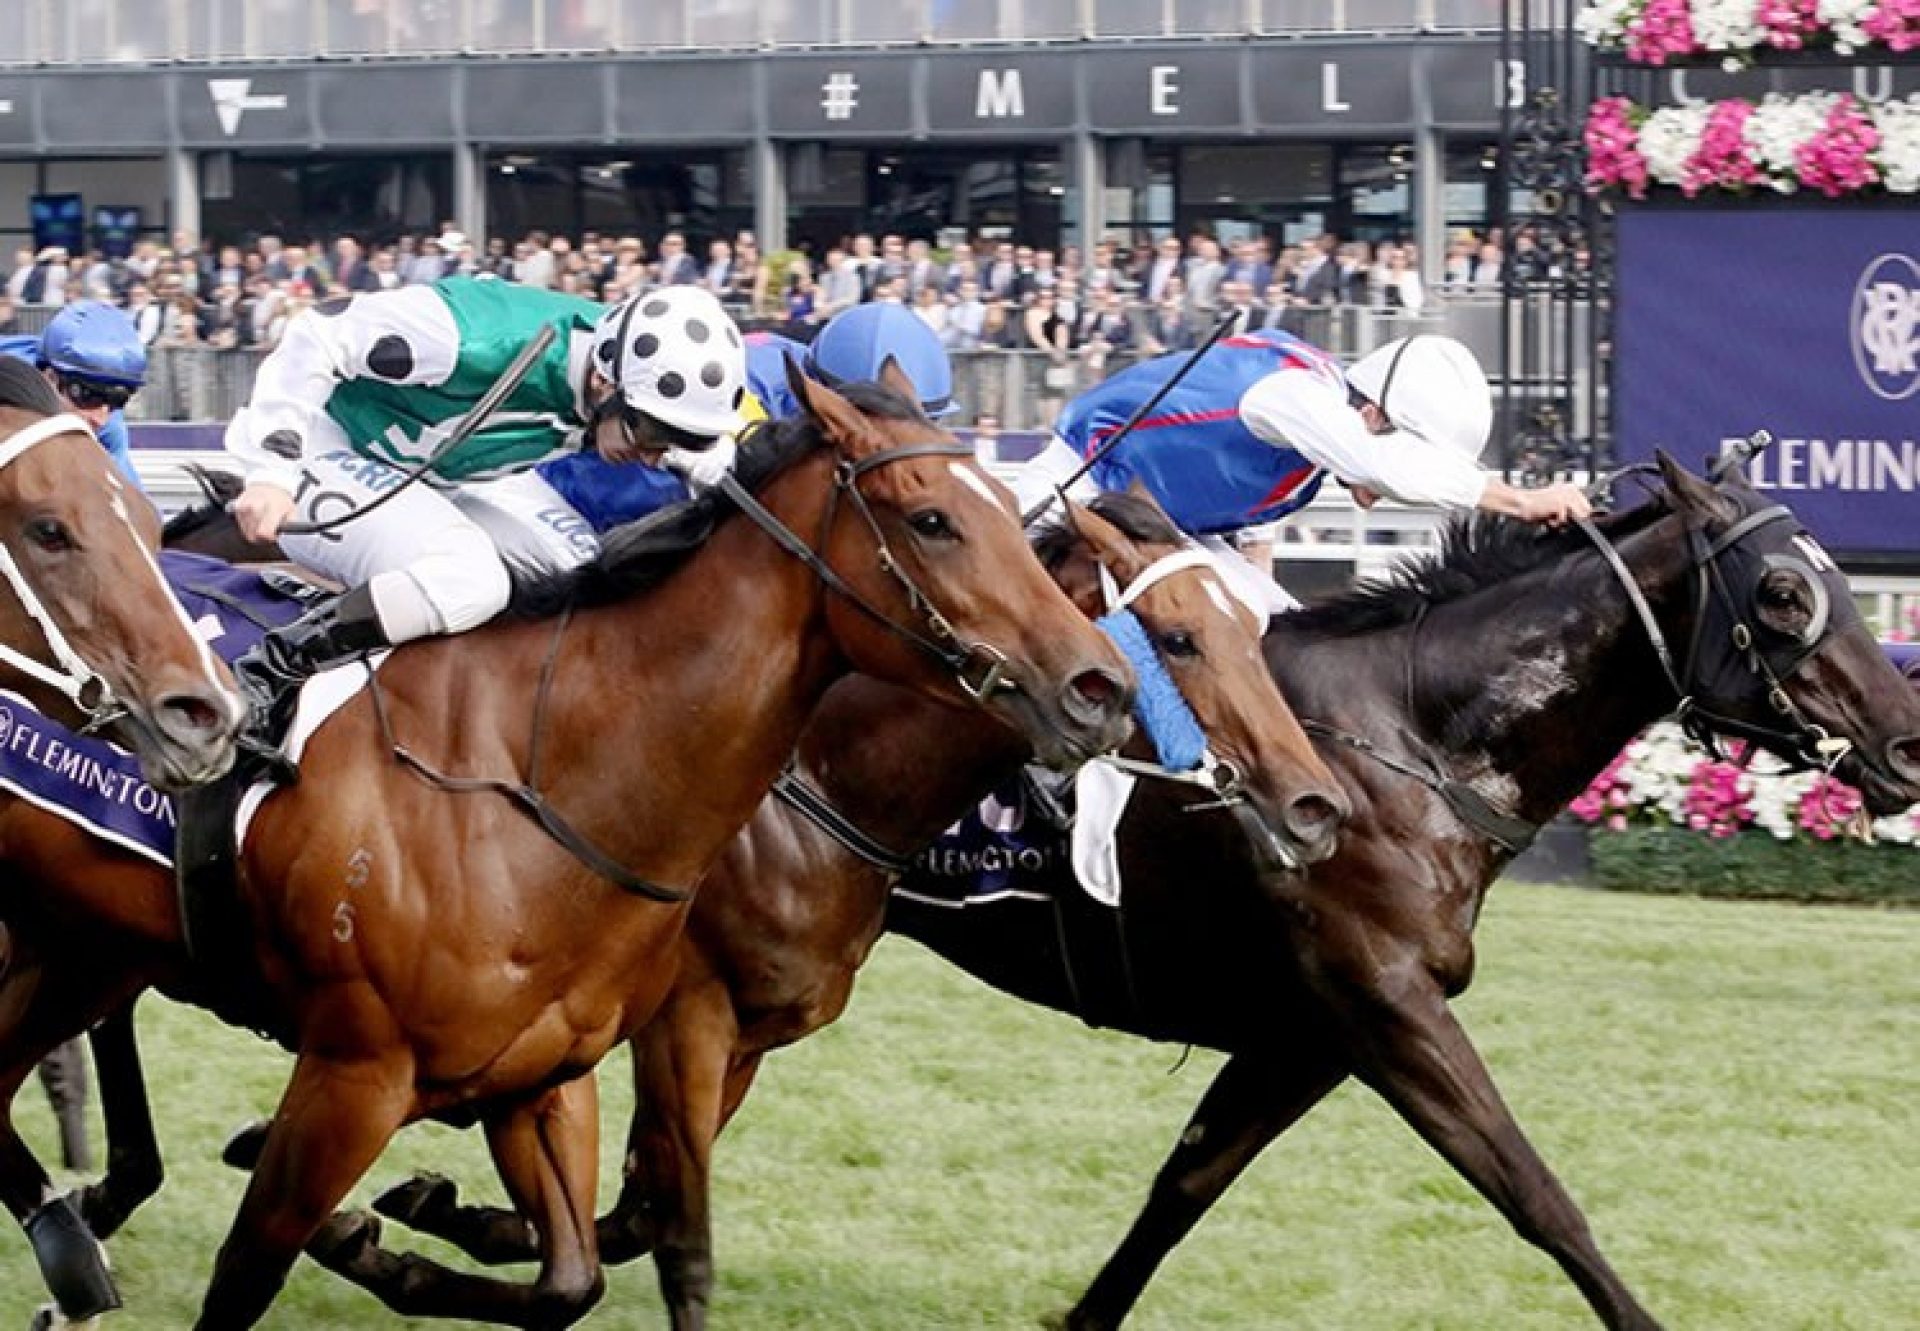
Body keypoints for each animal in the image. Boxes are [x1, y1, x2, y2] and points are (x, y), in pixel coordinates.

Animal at [0, 366, 1136, 1329]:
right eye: (933, 519)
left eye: (1017, 523)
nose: (1100, 685)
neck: (542, 781)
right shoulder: (356, 1075)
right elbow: (251, 1267)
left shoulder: (547, 1075)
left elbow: (574, 1275)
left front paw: (388, 1233)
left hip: (81, 942)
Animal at [341, 489, 1336, 1329]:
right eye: (1180, 638)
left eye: (1255, 630)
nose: (1313, 804)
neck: (822, 786)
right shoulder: (686, 1014)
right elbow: (661, 1216)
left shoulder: (744, 1032)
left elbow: (637, 1207)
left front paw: (435, 1215)